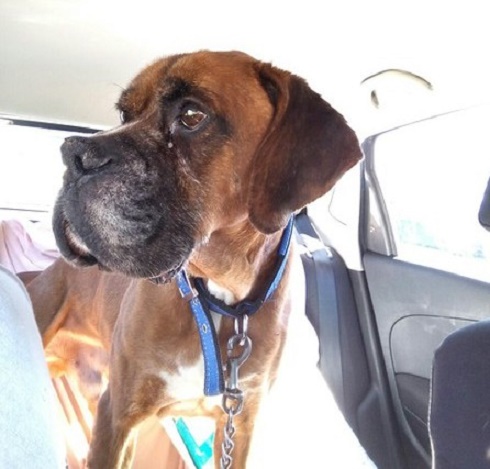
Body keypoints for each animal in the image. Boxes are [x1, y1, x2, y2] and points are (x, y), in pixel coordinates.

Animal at [27, 50, 362, 468]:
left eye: (190, 115)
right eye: (123, 114)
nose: (75, 154)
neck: (222, 296)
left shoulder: (240, 423)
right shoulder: (118, 414)